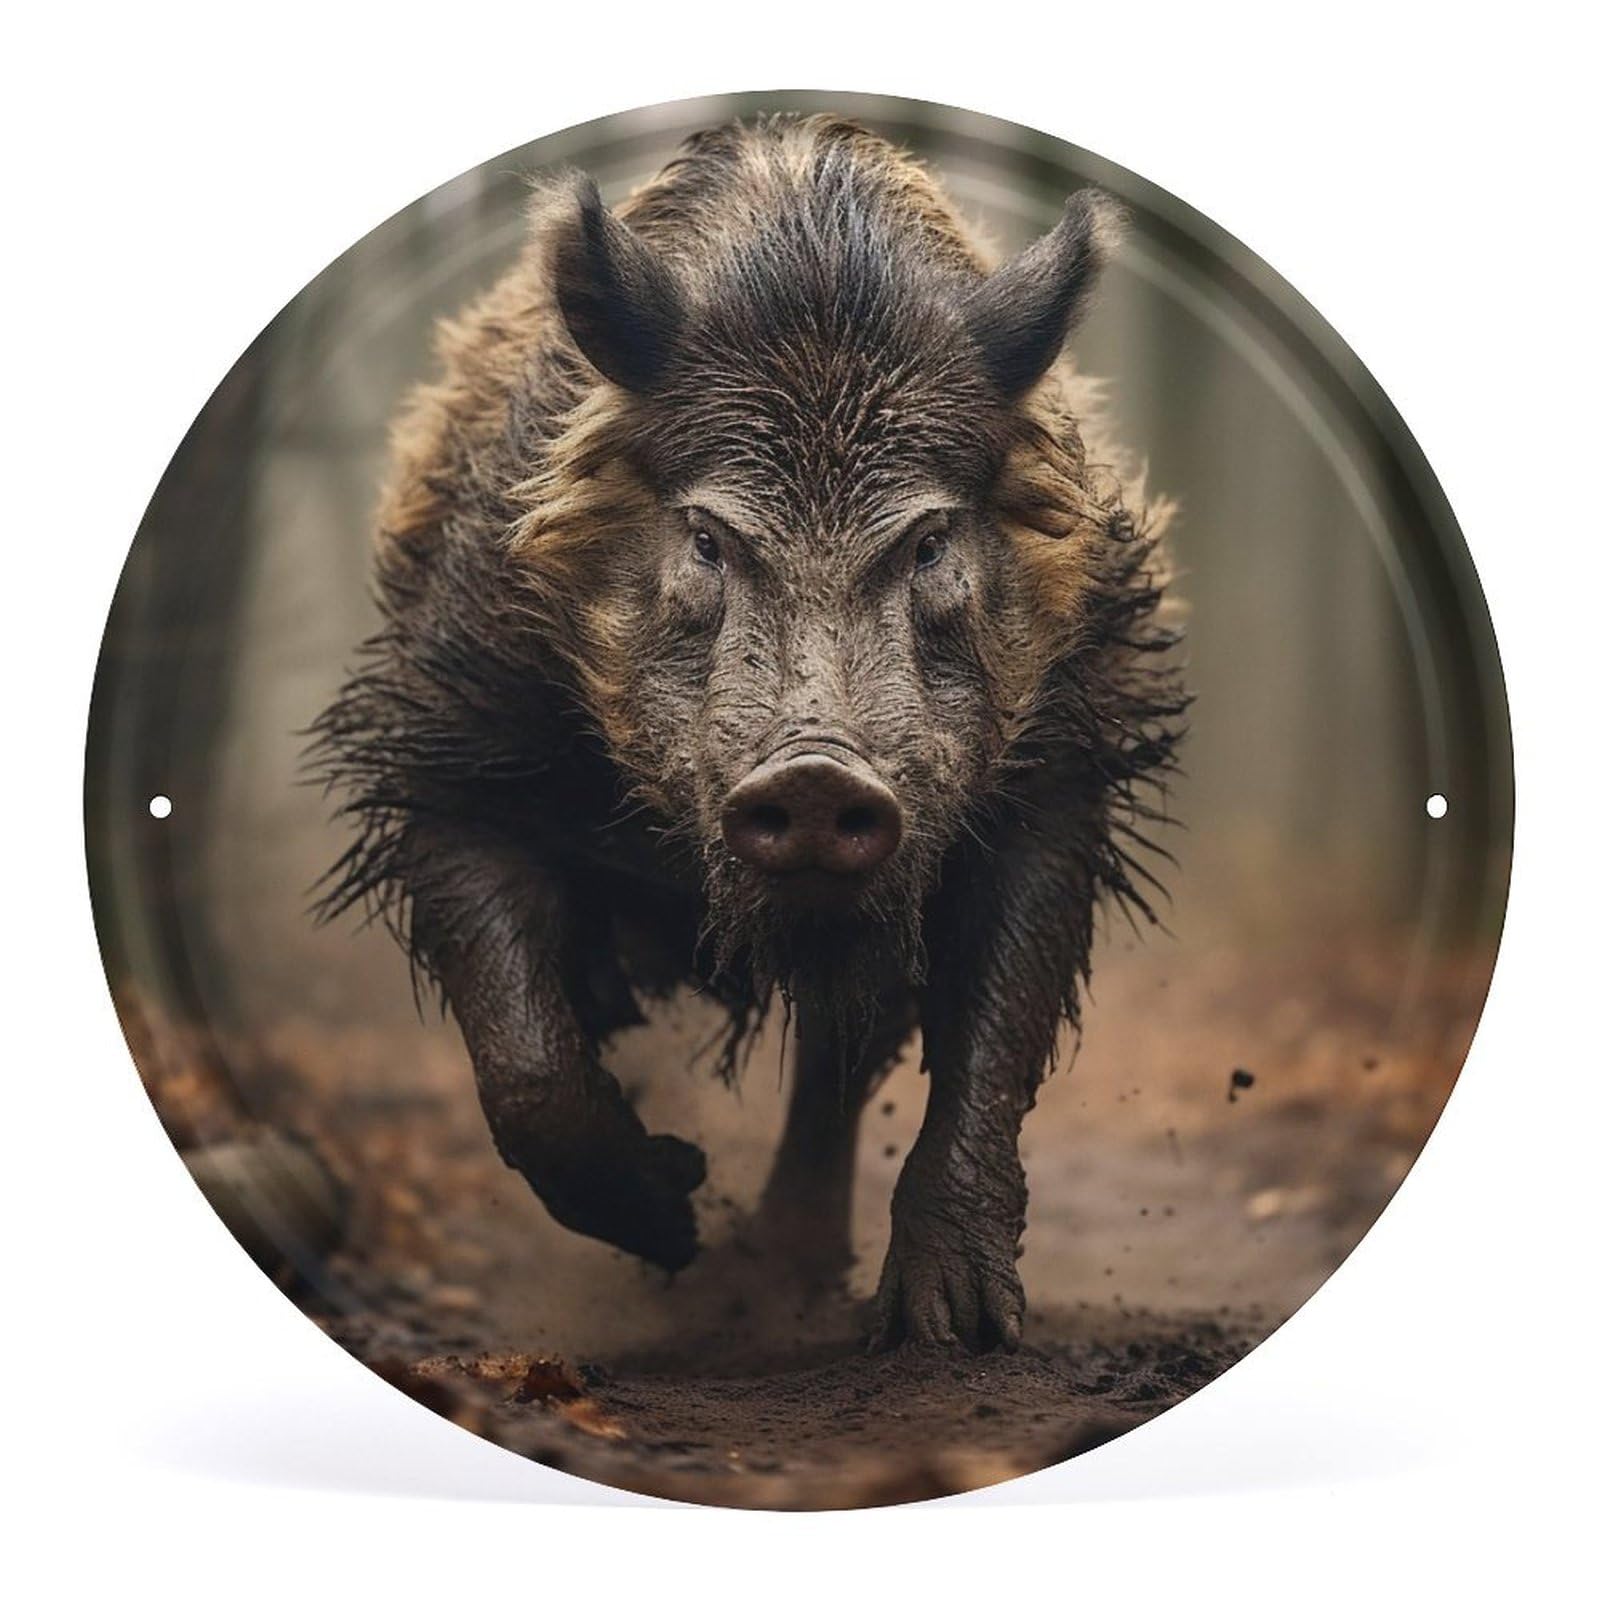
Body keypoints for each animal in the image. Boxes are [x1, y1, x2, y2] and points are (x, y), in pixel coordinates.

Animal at [311, 115, 1183, 1351]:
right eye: (708, 539)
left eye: (927, 543)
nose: (816, 771)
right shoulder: (451, 733)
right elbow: (526, 1061)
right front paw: (674, 1220)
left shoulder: (1064, 759)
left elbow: (995, 1017)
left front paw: (953, 1334)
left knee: (840, 1062)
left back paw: (797, 1277)